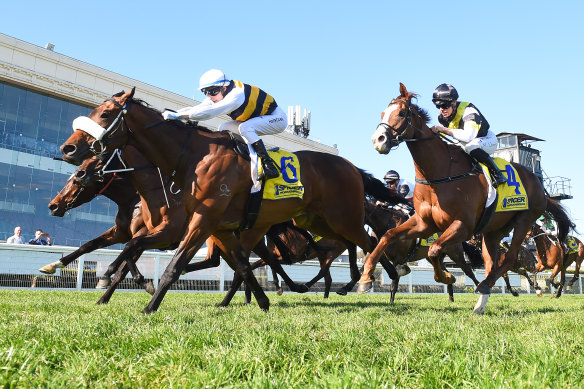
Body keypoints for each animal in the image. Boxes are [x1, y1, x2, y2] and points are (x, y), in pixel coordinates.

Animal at [59, 88, 406, 312]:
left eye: (105, 113)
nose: (68, 148)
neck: (192, 157)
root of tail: (351, 167)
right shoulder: (219, 226)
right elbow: (239, 264)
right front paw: (262, 302)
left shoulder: (200, 221)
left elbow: (174, 264)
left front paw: (148, 306)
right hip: (319, 222)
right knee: (343, 246)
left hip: (342, 218)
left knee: (372, 241)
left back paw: (381, 282)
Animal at [364, 82, 576, 312]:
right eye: (383, 113)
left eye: (402, 113)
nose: (378, 140)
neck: (438, 173)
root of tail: (538, 185)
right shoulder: (423, 223)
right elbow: (389, 235)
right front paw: (366, 276)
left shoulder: (462, 226)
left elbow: (434, 250)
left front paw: (446, 277)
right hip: (493, 231)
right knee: (492, 262)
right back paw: (481, 302)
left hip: (524, 221)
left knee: (509, 259)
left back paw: (486, 287)